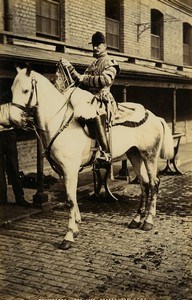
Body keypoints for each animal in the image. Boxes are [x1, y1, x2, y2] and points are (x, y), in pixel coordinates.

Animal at [10, 67, 174, 250]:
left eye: (26, 90)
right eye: (11, 89)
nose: (13, 120)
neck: (59, 123)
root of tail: (154, 117)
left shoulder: (70, 170)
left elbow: (70, 200)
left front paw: (68, 236)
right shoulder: (63, 171)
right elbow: (72, 198)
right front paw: (75, 228)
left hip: (149, 156)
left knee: (153, 183)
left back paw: (148, 221)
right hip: (134, 155)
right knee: (144, 184)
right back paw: (136, 219)